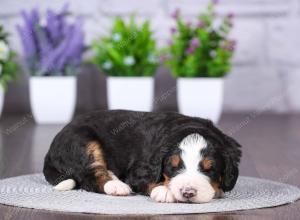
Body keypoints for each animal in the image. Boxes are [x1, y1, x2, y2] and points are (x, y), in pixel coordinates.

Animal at [43, 109, 241, 203]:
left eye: (210, 169)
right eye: (173, 167)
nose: (188, 193)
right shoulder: (139, 169)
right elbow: (150, 180)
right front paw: (164, 191)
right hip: (82, 141)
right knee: (91, 173)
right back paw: (116, 186)